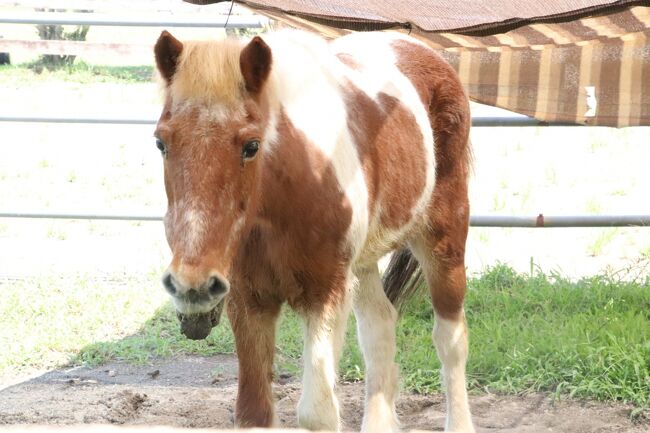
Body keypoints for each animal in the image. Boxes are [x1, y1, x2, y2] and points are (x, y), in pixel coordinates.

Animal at [154, 28, 474, 430]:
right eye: (161, 142)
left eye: (251, 146)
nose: (191, 286)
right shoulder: (248, 300)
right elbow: (253, 411)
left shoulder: (325, 293)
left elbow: (317, 413)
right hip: (362, 262)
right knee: (380, 327)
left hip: (443, 238)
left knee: (450, 339)